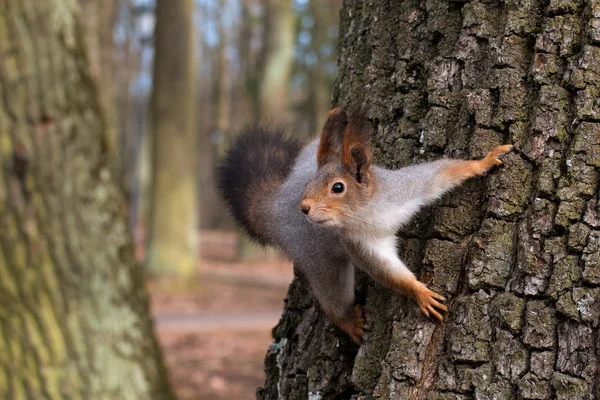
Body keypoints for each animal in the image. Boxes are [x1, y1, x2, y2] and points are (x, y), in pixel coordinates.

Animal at [218, 107, 512, 344]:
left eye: (338, 188)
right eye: (309, 184)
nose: (304, 207)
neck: (367, 211)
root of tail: (277, 207)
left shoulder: (406, 188)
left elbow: (442, 173)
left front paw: (483, 161)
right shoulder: (358, 242)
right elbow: (385, 270)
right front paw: (419, 292)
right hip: (320, 261)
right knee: (332, 297)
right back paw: (347, 321)